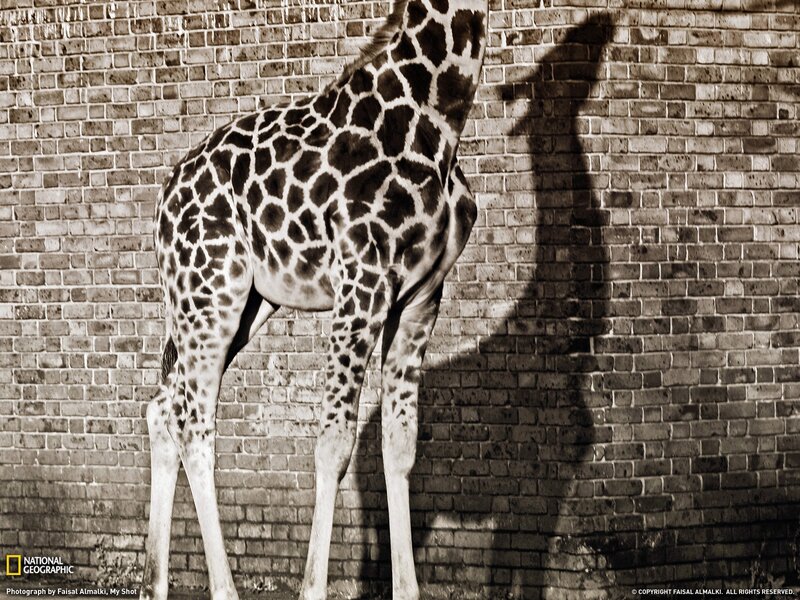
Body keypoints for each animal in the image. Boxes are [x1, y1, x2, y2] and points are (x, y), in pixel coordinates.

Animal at [140, 0, 488, 598]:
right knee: (193, 426)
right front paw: (313, 587)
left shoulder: (421, 297)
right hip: (210, 293)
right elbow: (332, 445)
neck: (439, 113)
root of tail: (164, 199)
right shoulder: (362, 284)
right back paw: (223, 589)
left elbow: (400, 446)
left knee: (163, 408)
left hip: (238, 305)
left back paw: (153, 585)